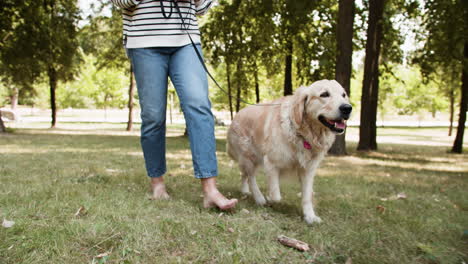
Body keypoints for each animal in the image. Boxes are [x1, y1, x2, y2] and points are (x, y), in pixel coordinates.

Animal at [227, 79, 352, 224]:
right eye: (324, 94)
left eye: (343, 95)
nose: (347, 108)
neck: (303, 133)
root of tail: (237, 114)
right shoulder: (271, 162)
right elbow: (276, 195)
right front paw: (270, 197)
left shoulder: (308, 170)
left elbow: (307, 195)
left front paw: (310, 216)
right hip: (248, 155)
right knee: (251, 177)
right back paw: (259, 198)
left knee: (244, 174)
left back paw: (245, 191)